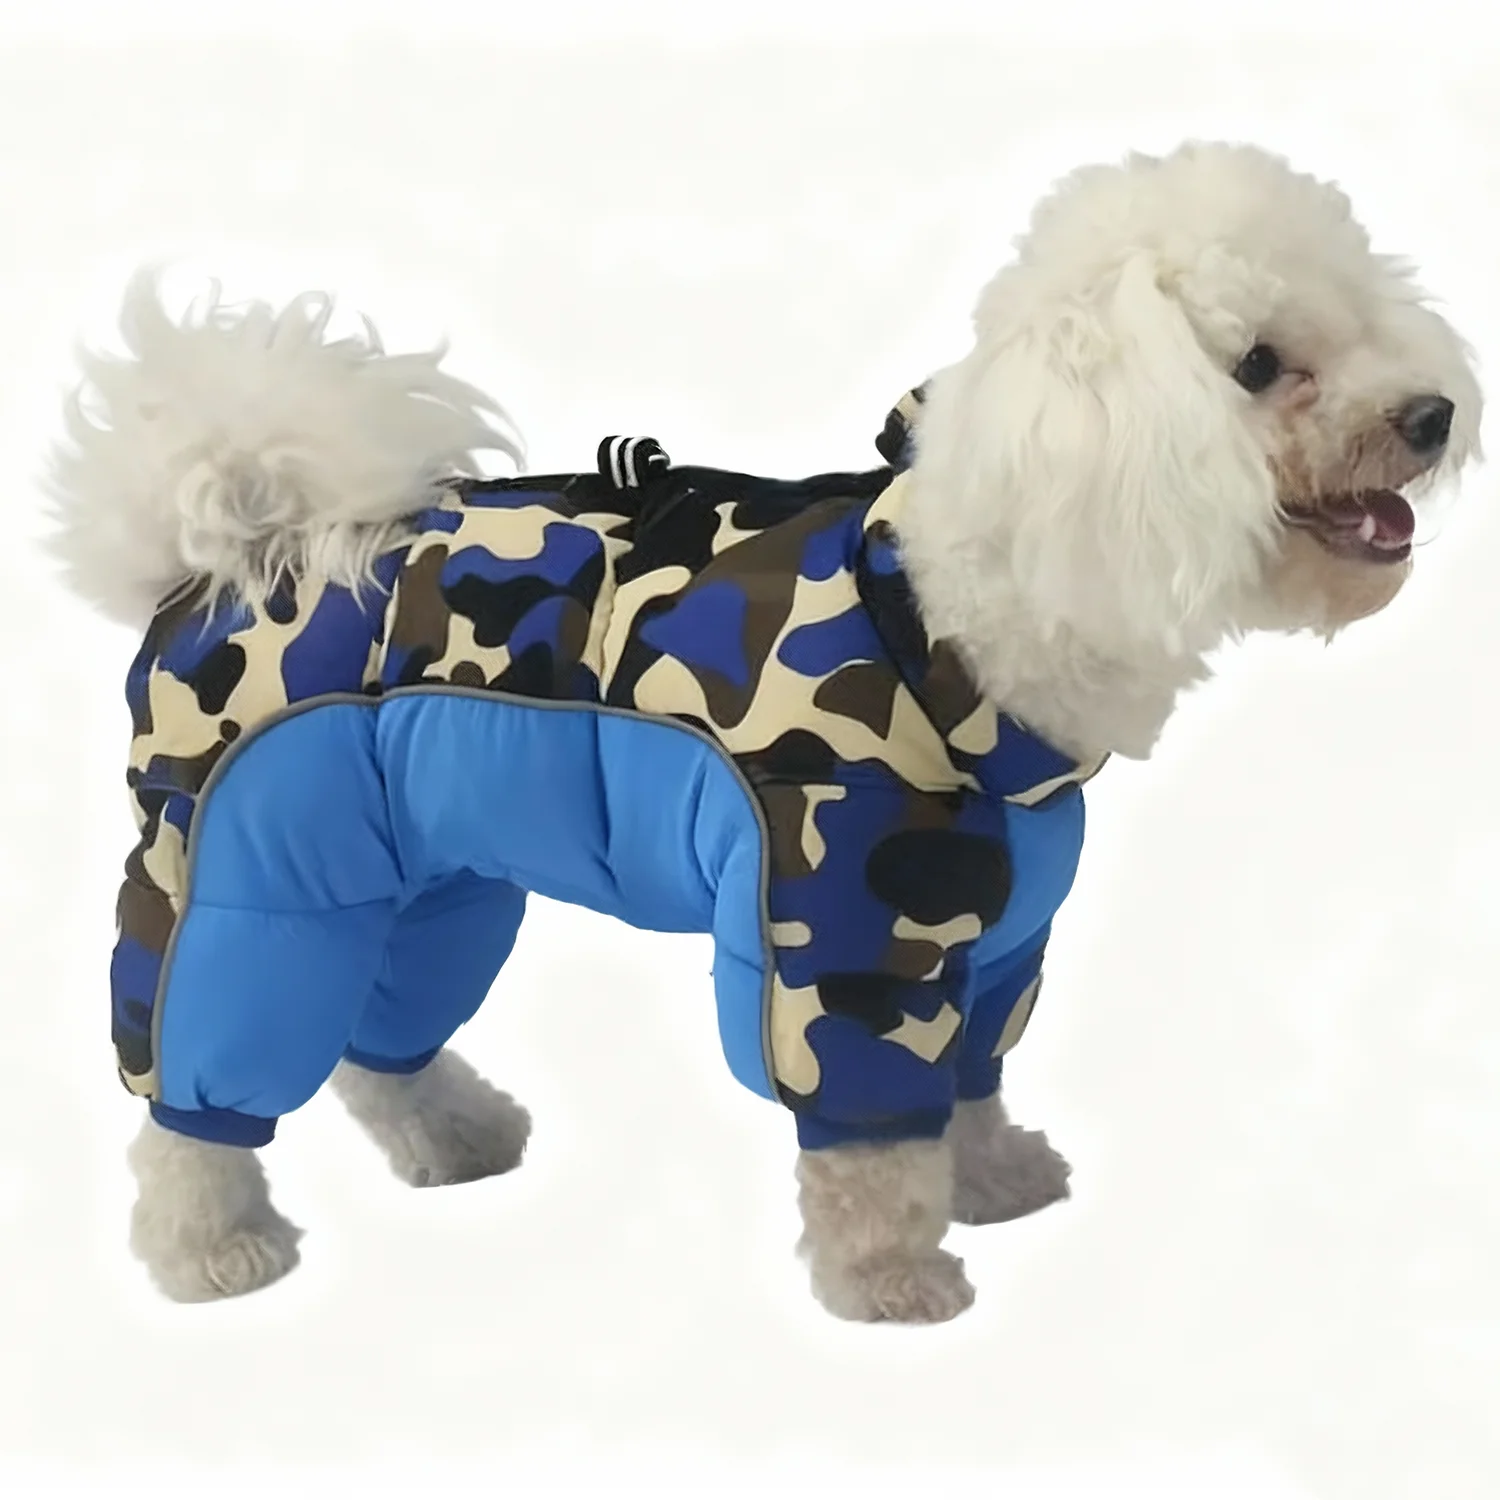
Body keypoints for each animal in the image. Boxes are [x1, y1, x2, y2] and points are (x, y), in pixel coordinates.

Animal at [46, 140, 1482, 1323]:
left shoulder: (997, 939)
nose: (1434, 415)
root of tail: (226, 553)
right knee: (190, 1079)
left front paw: (994, 1177)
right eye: (1260, 366)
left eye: (1368, 326)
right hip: (241, 867)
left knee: (374, 1044)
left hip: (421, 879)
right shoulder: (846, 942)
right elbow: (868, 1143)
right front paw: (889, 1278)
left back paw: (452, 1136)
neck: (953, 613)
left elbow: (973, 1082)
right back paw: (208, 1247)